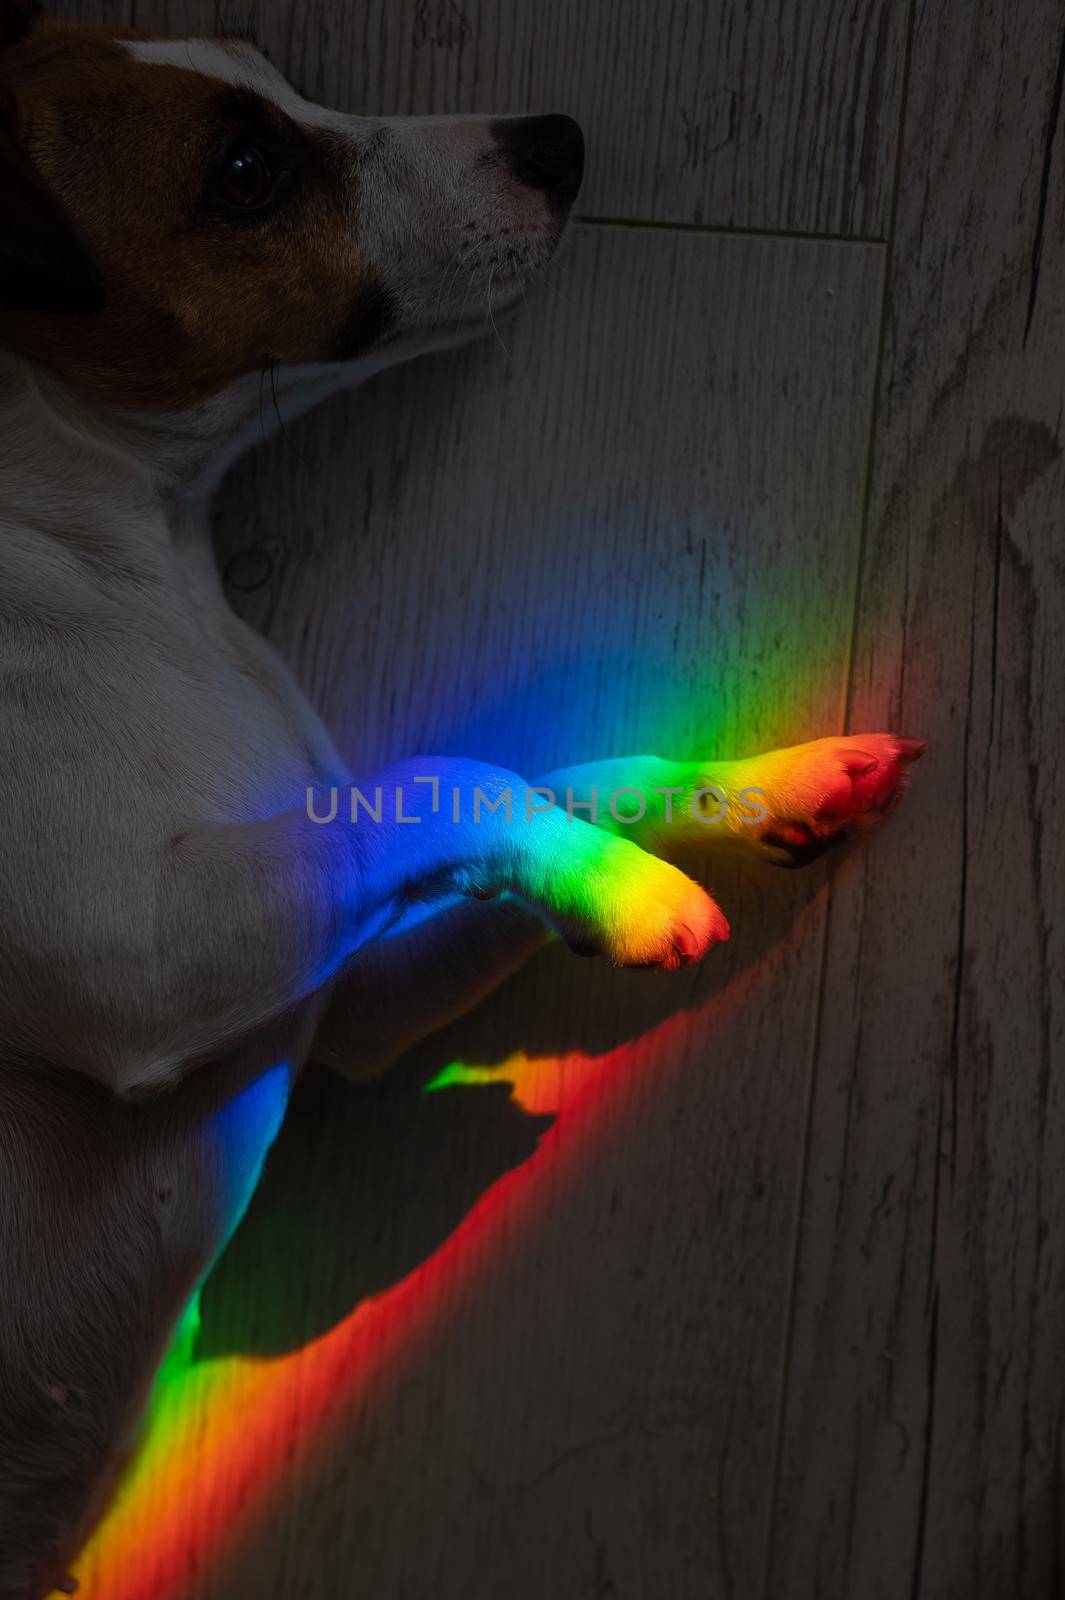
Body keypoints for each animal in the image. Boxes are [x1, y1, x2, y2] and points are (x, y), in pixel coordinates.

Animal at [0, 6, 921, 1593]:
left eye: (275, 71)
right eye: (243, 173)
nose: (556, 138)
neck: (121, 550)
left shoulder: (328, 990)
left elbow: (570, 778)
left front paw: (745, 793)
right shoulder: (145, 961)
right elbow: (451, 771)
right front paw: (639, 896)